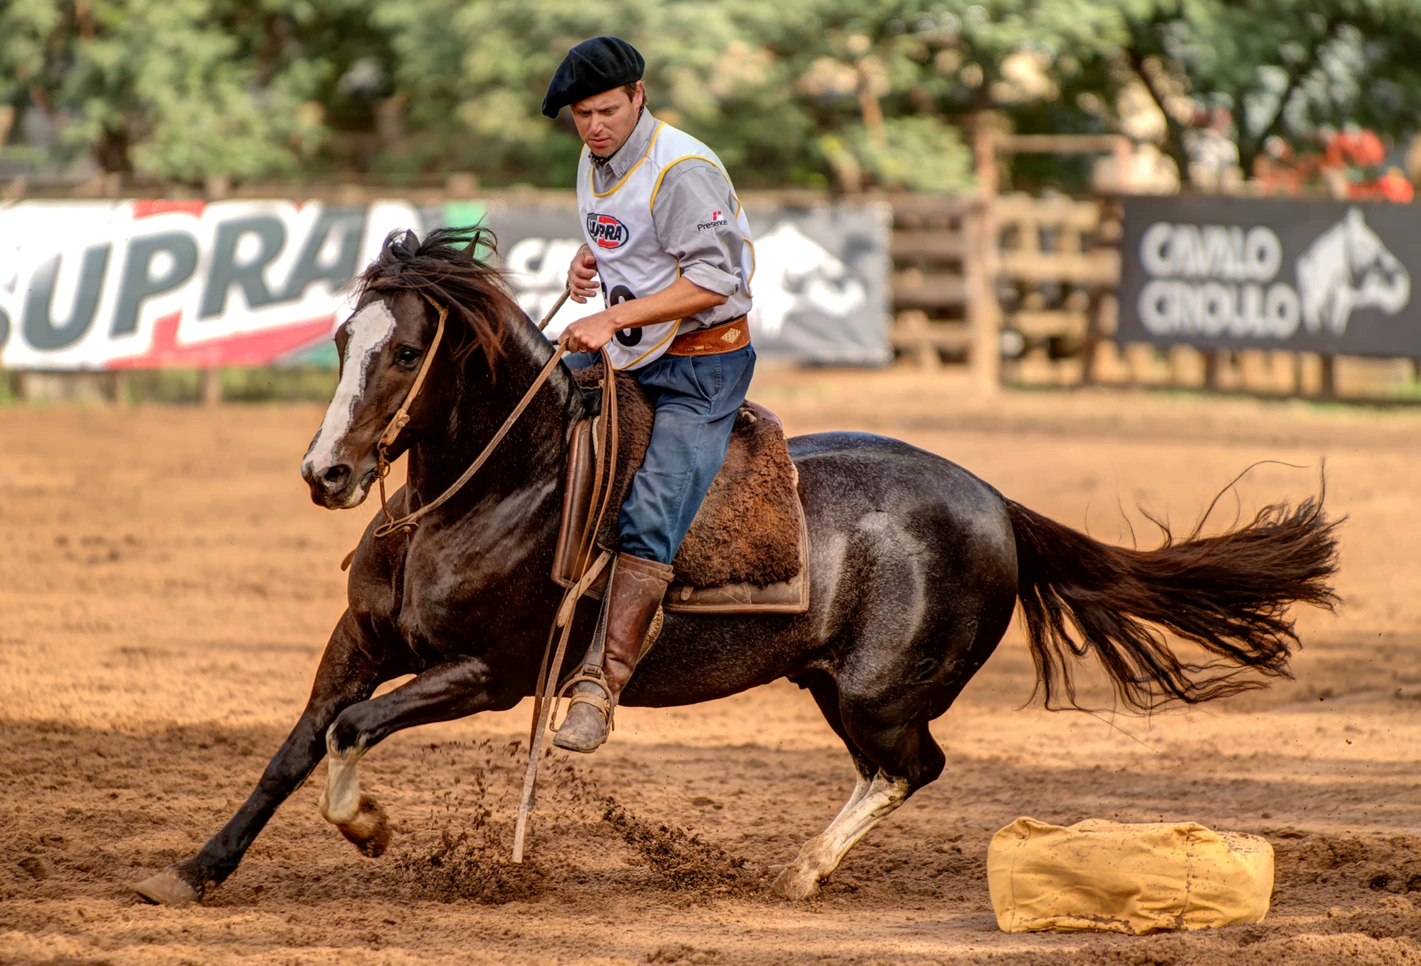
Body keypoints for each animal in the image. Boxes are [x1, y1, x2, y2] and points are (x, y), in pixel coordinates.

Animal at [127, 225, 1335, 903]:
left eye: (410, 350)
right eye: (342, 340)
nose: (326, 473)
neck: (492, 485)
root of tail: (996, 503)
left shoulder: (487, 675)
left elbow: (349, 733)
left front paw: (371, 827)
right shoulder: (361, 640)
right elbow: (298, 744)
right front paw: (199, 868)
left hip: (878, 690)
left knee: (912, 767)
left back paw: (799, 873)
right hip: (836, 686)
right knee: (899, 769)